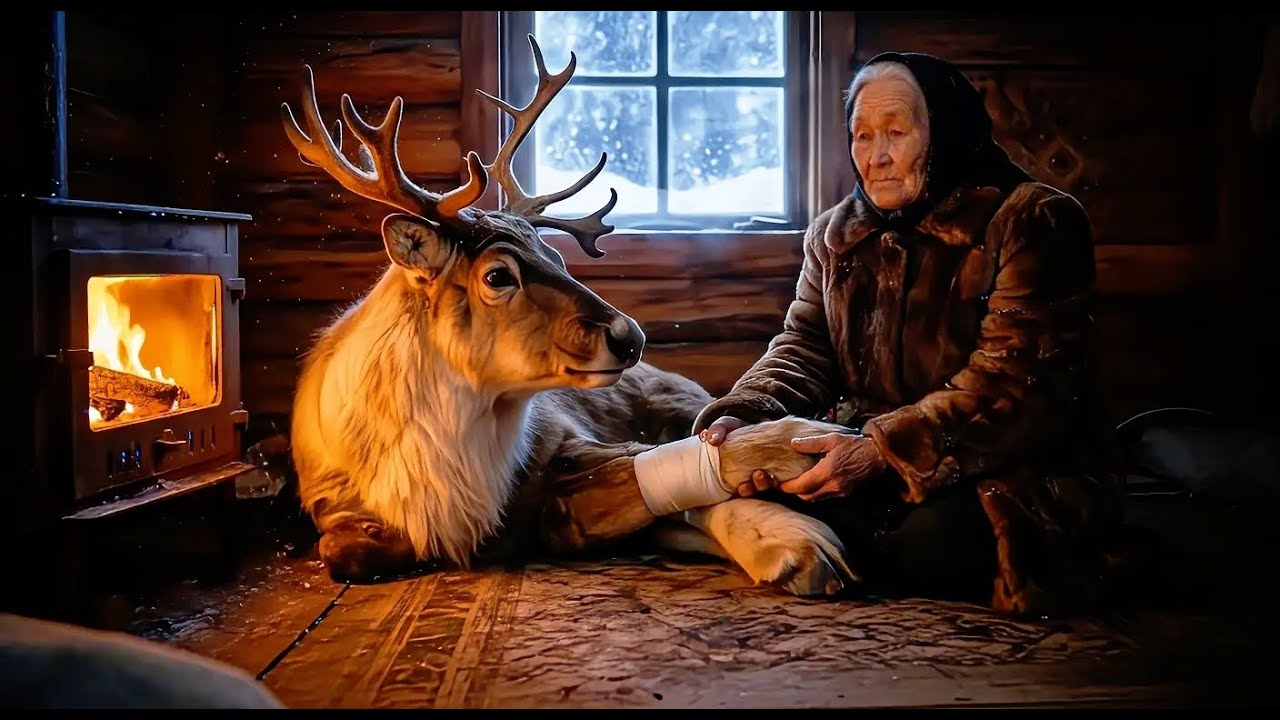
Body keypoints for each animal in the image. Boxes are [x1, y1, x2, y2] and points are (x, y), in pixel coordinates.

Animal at [280, 35, 860, 597]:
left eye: (557, 258)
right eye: (497, 275)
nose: (631, 337)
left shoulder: (571, 442)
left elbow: (651, 473)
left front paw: (794, 485)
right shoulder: (342, 508)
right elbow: (350, 554)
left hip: (680, 402)